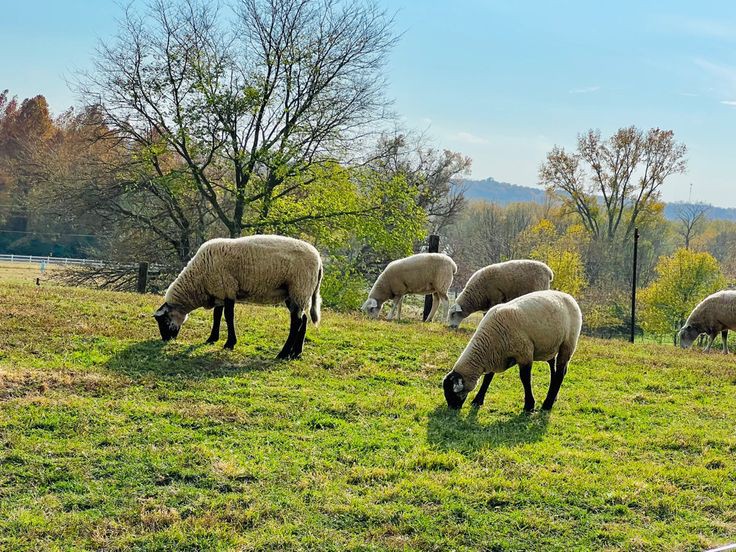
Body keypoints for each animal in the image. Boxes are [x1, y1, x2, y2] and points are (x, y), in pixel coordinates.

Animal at [154, 235, 320, 360]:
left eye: (164, 320)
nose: (166, 339)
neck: (198, 280)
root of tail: (319, 261)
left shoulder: (228, 290)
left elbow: (228, 316)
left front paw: (229, 343)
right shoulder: (219, 291)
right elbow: (217, 316)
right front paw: (212, 339)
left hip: (299, 288)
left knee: (296, 322)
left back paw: (283, 353)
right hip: (296, 293)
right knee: (303, 319)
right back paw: (296, 353)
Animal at [442, 288, 580, 410]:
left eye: (452, 393)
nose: (452, 408)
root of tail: (568, 296)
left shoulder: (524, 354)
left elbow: (525, 379)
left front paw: (529, 405)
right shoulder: (495, 355)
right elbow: (488, 378)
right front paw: (478, 400)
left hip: (568, 343)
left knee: (561, 372)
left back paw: (547, 404)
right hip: (549, 346)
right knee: (554, 369)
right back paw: (553, 397)